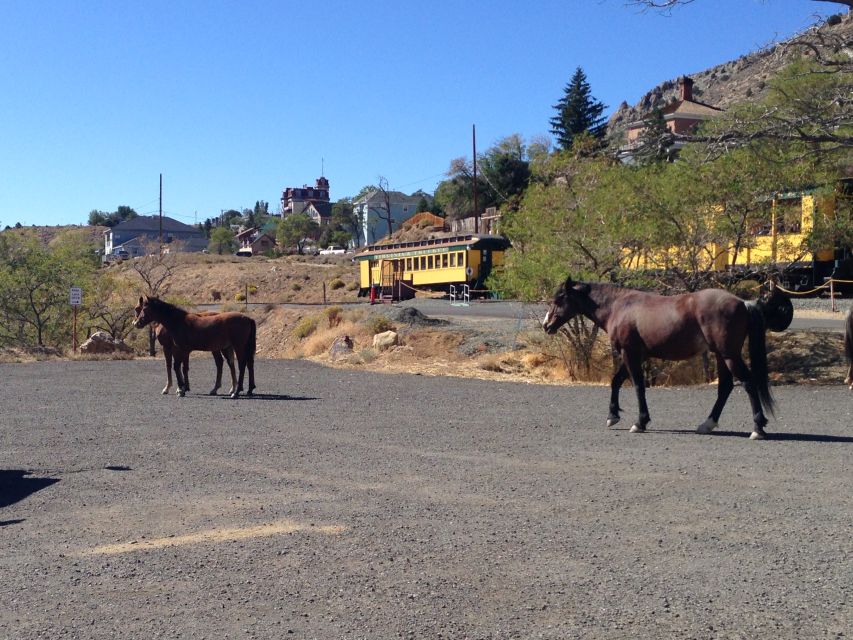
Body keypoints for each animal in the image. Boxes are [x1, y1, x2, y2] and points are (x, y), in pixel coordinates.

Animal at [544, 278, 776, 442]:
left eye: (559, 299)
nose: (546, 325)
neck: (619, 306)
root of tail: (743, 302)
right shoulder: (636, 355)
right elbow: (616, 381)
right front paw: (613, 416)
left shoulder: (630, 353)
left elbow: (638, 386)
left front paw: (640, 422)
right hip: (721, 356)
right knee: (725, 387)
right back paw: (707, 424)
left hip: (729, 355)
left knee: (748, 383)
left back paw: (757, 428)